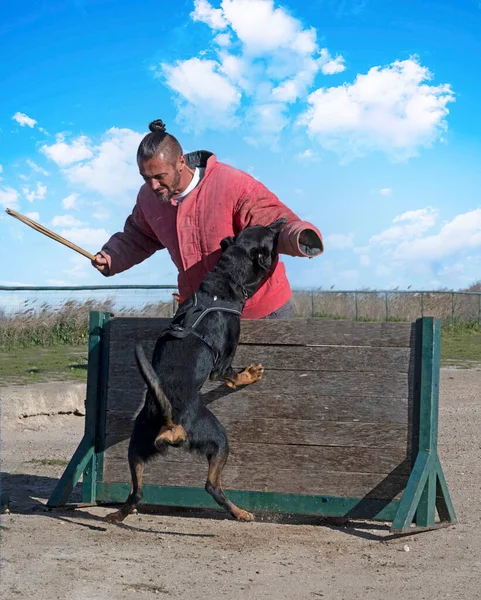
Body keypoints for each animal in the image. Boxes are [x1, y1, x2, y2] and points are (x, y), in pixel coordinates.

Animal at [105, 218, 284, 524]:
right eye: (269, 234)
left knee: (136, 493)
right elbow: (233, 377)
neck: (222, 283)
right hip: (218, 438)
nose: (281, 222)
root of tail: (169, 423)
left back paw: (117, 515)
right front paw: (250, 374)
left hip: (136, 448)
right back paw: (241, 513)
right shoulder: (222, 365)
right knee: (212, 486)